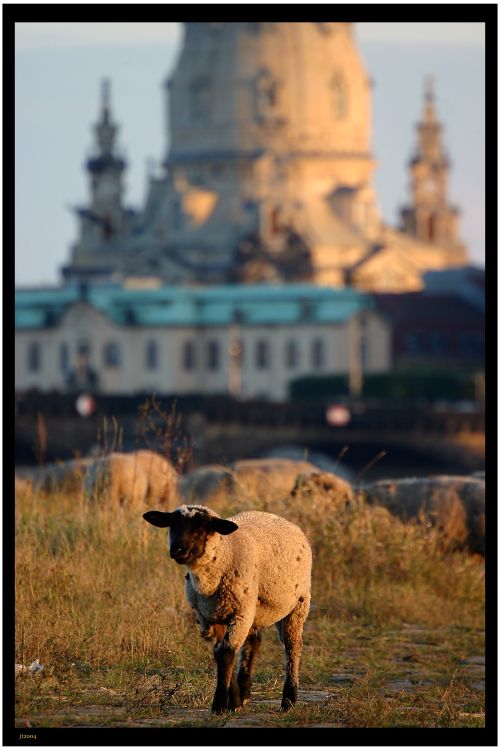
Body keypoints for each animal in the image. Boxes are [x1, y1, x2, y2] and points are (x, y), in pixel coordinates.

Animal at [143, 508, 310, 712]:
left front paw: (220, 704)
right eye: (172, 525)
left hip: (297, 604)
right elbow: (220, 653)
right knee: (252, 643)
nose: (177, 550)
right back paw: (245, 692)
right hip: (254, 609)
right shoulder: (208, 617)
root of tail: (279, 517)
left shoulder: (239, 613)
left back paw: (288, 699)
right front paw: (234, 700)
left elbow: (226, 653)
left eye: (200, 529)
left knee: (292, 646)